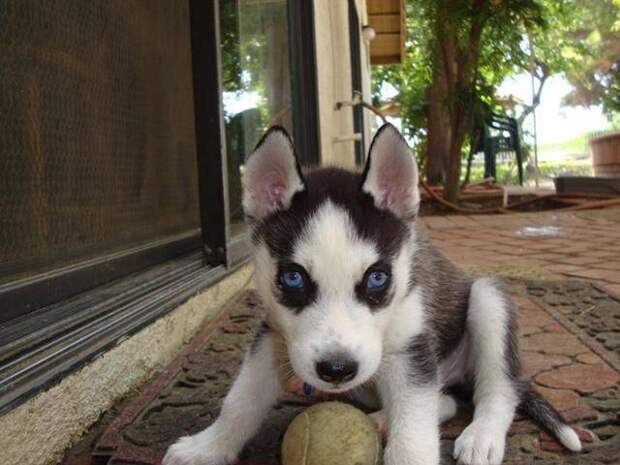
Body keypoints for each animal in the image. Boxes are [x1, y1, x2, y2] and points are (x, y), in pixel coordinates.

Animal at [163, 124, 582, 465]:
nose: (336, 369)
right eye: (293, 278)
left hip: (485, 300)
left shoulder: (412, 355)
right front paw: (209, 446)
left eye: (378, 278)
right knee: (445, 401)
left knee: (497, 390)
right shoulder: (275, 336)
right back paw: (383, 420)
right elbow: (241, 399)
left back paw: (481, 436)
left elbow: (413, 438)